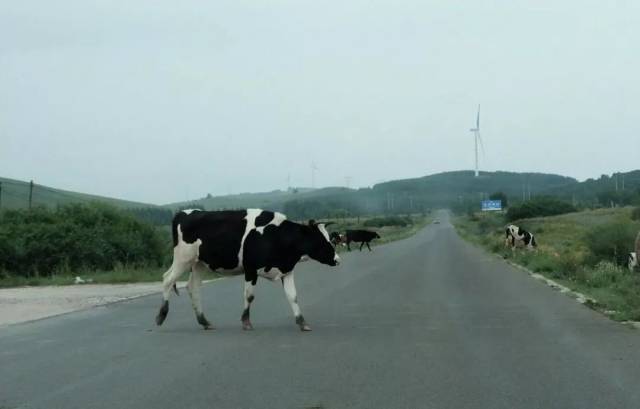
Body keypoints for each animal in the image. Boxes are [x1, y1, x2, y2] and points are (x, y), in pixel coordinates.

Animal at [155, 209, 340, 330]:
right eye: (321, 240)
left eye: (330, 238)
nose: (337, 260)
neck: (276, 235)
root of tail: (184, 213)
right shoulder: (251, 269)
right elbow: (249, 296)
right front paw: (246, 321)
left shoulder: (286, 270)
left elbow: (293, 296)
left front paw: (302, 322)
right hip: (183, 258)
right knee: (167, 279)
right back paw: (161, 316)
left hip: (198, 263)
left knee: (192, 287)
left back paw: (204, 321)